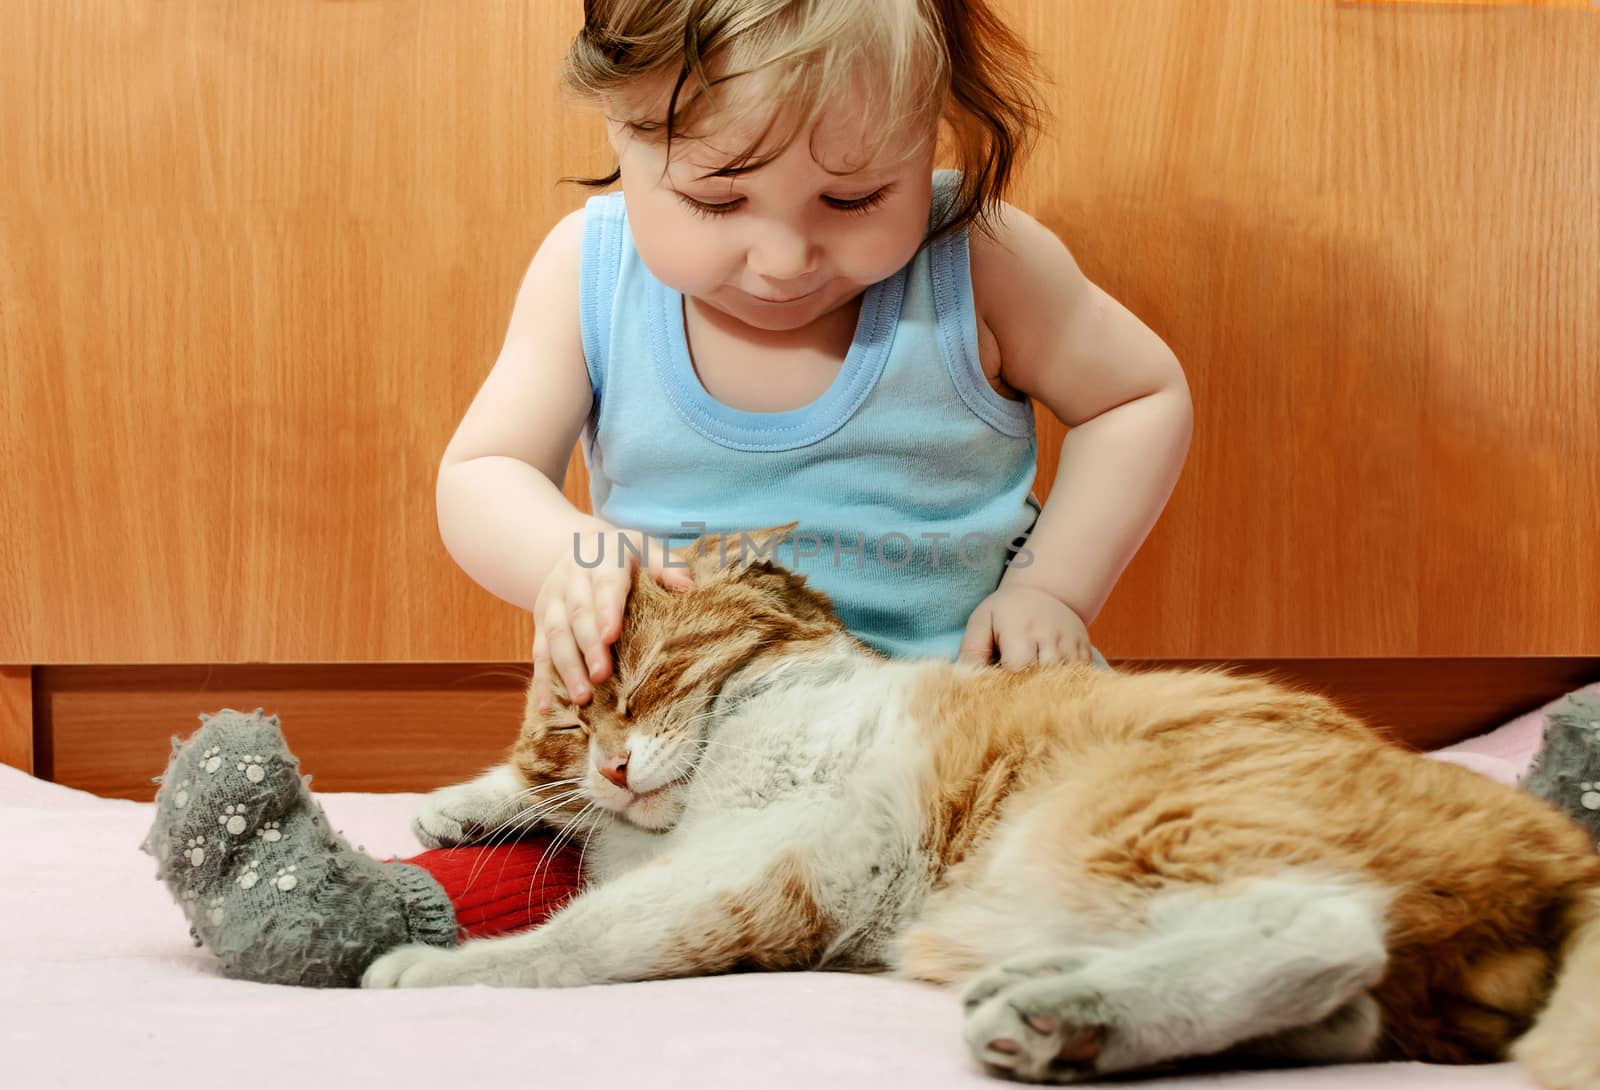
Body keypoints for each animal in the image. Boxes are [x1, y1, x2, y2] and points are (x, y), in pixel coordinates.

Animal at [363, 521, 1600, 1081]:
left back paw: (1058, 1014)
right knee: (1343, 1015)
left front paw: (436, 969)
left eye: (645, 680)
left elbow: (588, 933)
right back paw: (1077, 1019)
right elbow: (556, 831)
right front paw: (466, 803)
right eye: (571, 725)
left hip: (1120, 821)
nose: (616, 764)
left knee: (1320, 929)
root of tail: (1559, 848)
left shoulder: (773, 865)